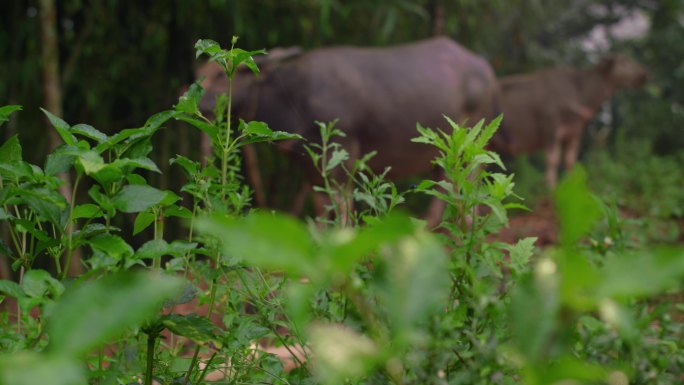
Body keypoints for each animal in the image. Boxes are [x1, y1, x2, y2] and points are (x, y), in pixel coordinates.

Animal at [195, 37, 500, 224]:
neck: (292, 99)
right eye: (201, 73)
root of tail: (487, 71)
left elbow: (342, 209)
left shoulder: (344, 153)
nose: (199, 100)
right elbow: (321, 210)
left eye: (221, 74)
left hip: (471, 149)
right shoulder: (310, 166)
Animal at [488, 53, 648, 186]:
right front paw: (550, 187)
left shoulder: (574, 132)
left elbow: (570, 161)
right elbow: (552, 160)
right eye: (624, 62)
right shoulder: (551, 128)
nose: (643, 74)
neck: (578, 92)